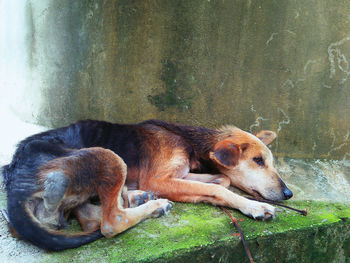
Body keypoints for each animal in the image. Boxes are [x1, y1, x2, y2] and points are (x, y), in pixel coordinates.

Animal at [2, 119, 292, 252]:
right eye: (258, 161)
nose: (288, 193)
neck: (189, 140)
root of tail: (15, 174)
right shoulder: (158, 178)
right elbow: (221, 186)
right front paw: (254, 207)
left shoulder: (180, 175)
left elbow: (222, 180)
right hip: (108, 156)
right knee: (111, 223)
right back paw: (152, 205)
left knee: (90, 218)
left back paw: (136, 198)